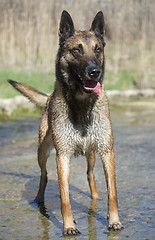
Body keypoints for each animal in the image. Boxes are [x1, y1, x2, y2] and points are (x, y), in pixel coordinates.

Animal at [8, 10, 123, 235]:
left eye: (97, 49)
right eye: (77, 50)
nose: (94, 72)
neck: (82, 103)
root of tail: (48, 99)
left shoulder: (107, 151)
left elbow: (112, 193)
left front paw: (114, 221)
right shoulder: (62, 156)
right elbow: (64, 197)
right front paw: (69, 226)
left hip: (92, 154)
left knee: (90, 174)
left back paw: (95, 197)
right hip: (43, 151)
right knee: (44, 175)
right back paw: (39, 199)